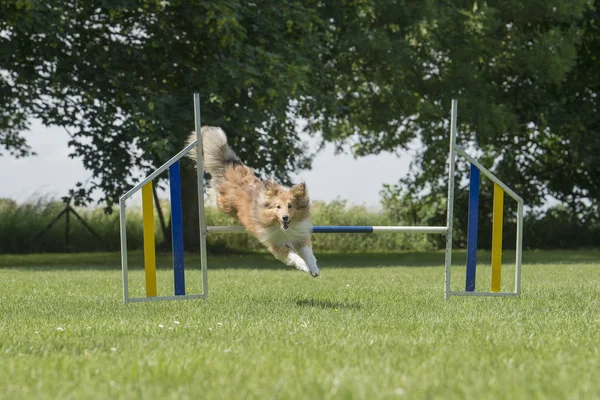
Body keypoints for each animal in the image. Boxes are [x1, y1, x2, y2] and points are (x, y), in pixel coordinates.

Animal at [188, 126, 322, 276]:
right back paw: (209, 193)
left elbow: (308, 253)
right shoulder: (277, 245)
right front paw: (305, 266)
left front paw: (314, 269)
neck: (282, 228)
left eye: (290, 206)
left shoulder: (300, 235)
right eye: (278, 207)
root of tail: (231, 167)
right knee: (215, 192)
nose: (285, 218)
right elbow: (294, 256)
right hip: (225, 204)